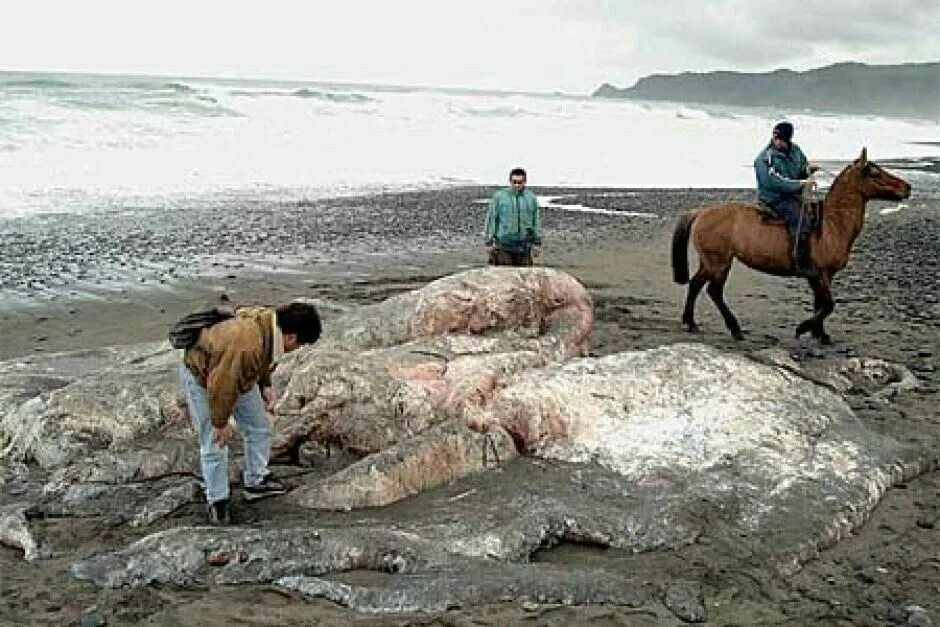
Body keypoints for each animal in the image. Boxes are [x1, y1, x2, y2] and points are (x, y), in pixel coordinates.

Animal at [672, 148, 916, 344]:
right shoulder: (821, 274)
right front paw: (804, 328)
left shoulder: (819, 276)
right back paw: (735, 328)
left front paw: (820, 334)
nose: (908, 187)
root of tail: (701, 212)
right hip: (720, 262)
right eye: (875, 173)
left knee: (695, 285)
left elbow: (820, 303)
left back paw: (690, 322)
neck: (832, 224)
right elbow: (828, 305)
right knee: (714, 291)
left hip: (709, 262)